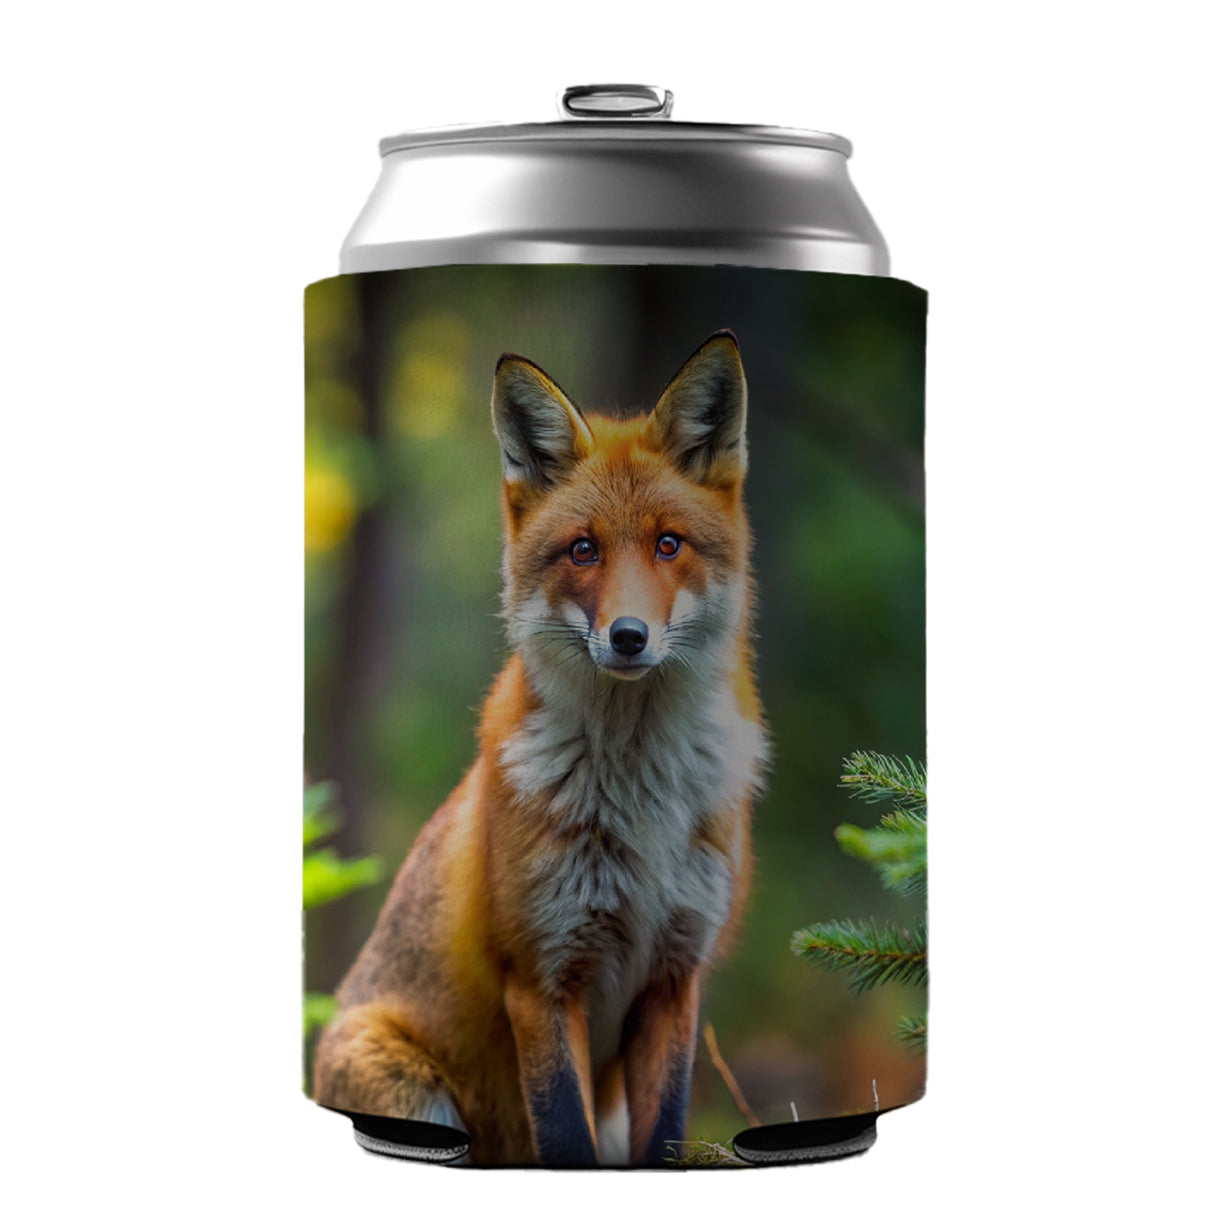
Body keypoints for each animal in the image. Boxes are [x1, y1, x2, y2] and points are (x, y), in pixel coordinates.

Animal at [313, 330, 768, 1166]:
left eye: (669, 544)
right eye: (583, 550)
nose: (628, 636)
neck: (641, 802)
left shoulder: (675, 977)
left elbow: (664, 1134)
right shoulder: (541, 975)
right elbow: (564, 1137)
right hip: (419, 1097)